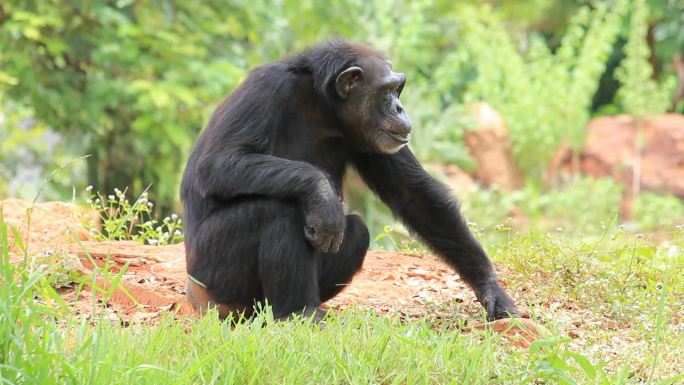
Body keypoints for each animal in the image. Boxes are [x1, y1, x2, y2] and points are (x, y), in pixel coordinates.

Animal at [182, 39, 520, 320]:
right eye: (387, 91)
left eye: (398, 89)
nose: (400, 107)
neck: (322, 108)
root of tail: (195, 296)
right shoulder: (267, 88)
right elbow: (219, 163)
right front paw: (320, 193)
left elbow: (414, 196)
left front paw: (491, 289)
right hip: (212, 273)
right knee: (276, 209)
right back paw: (299, 312)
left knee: (356, 229)